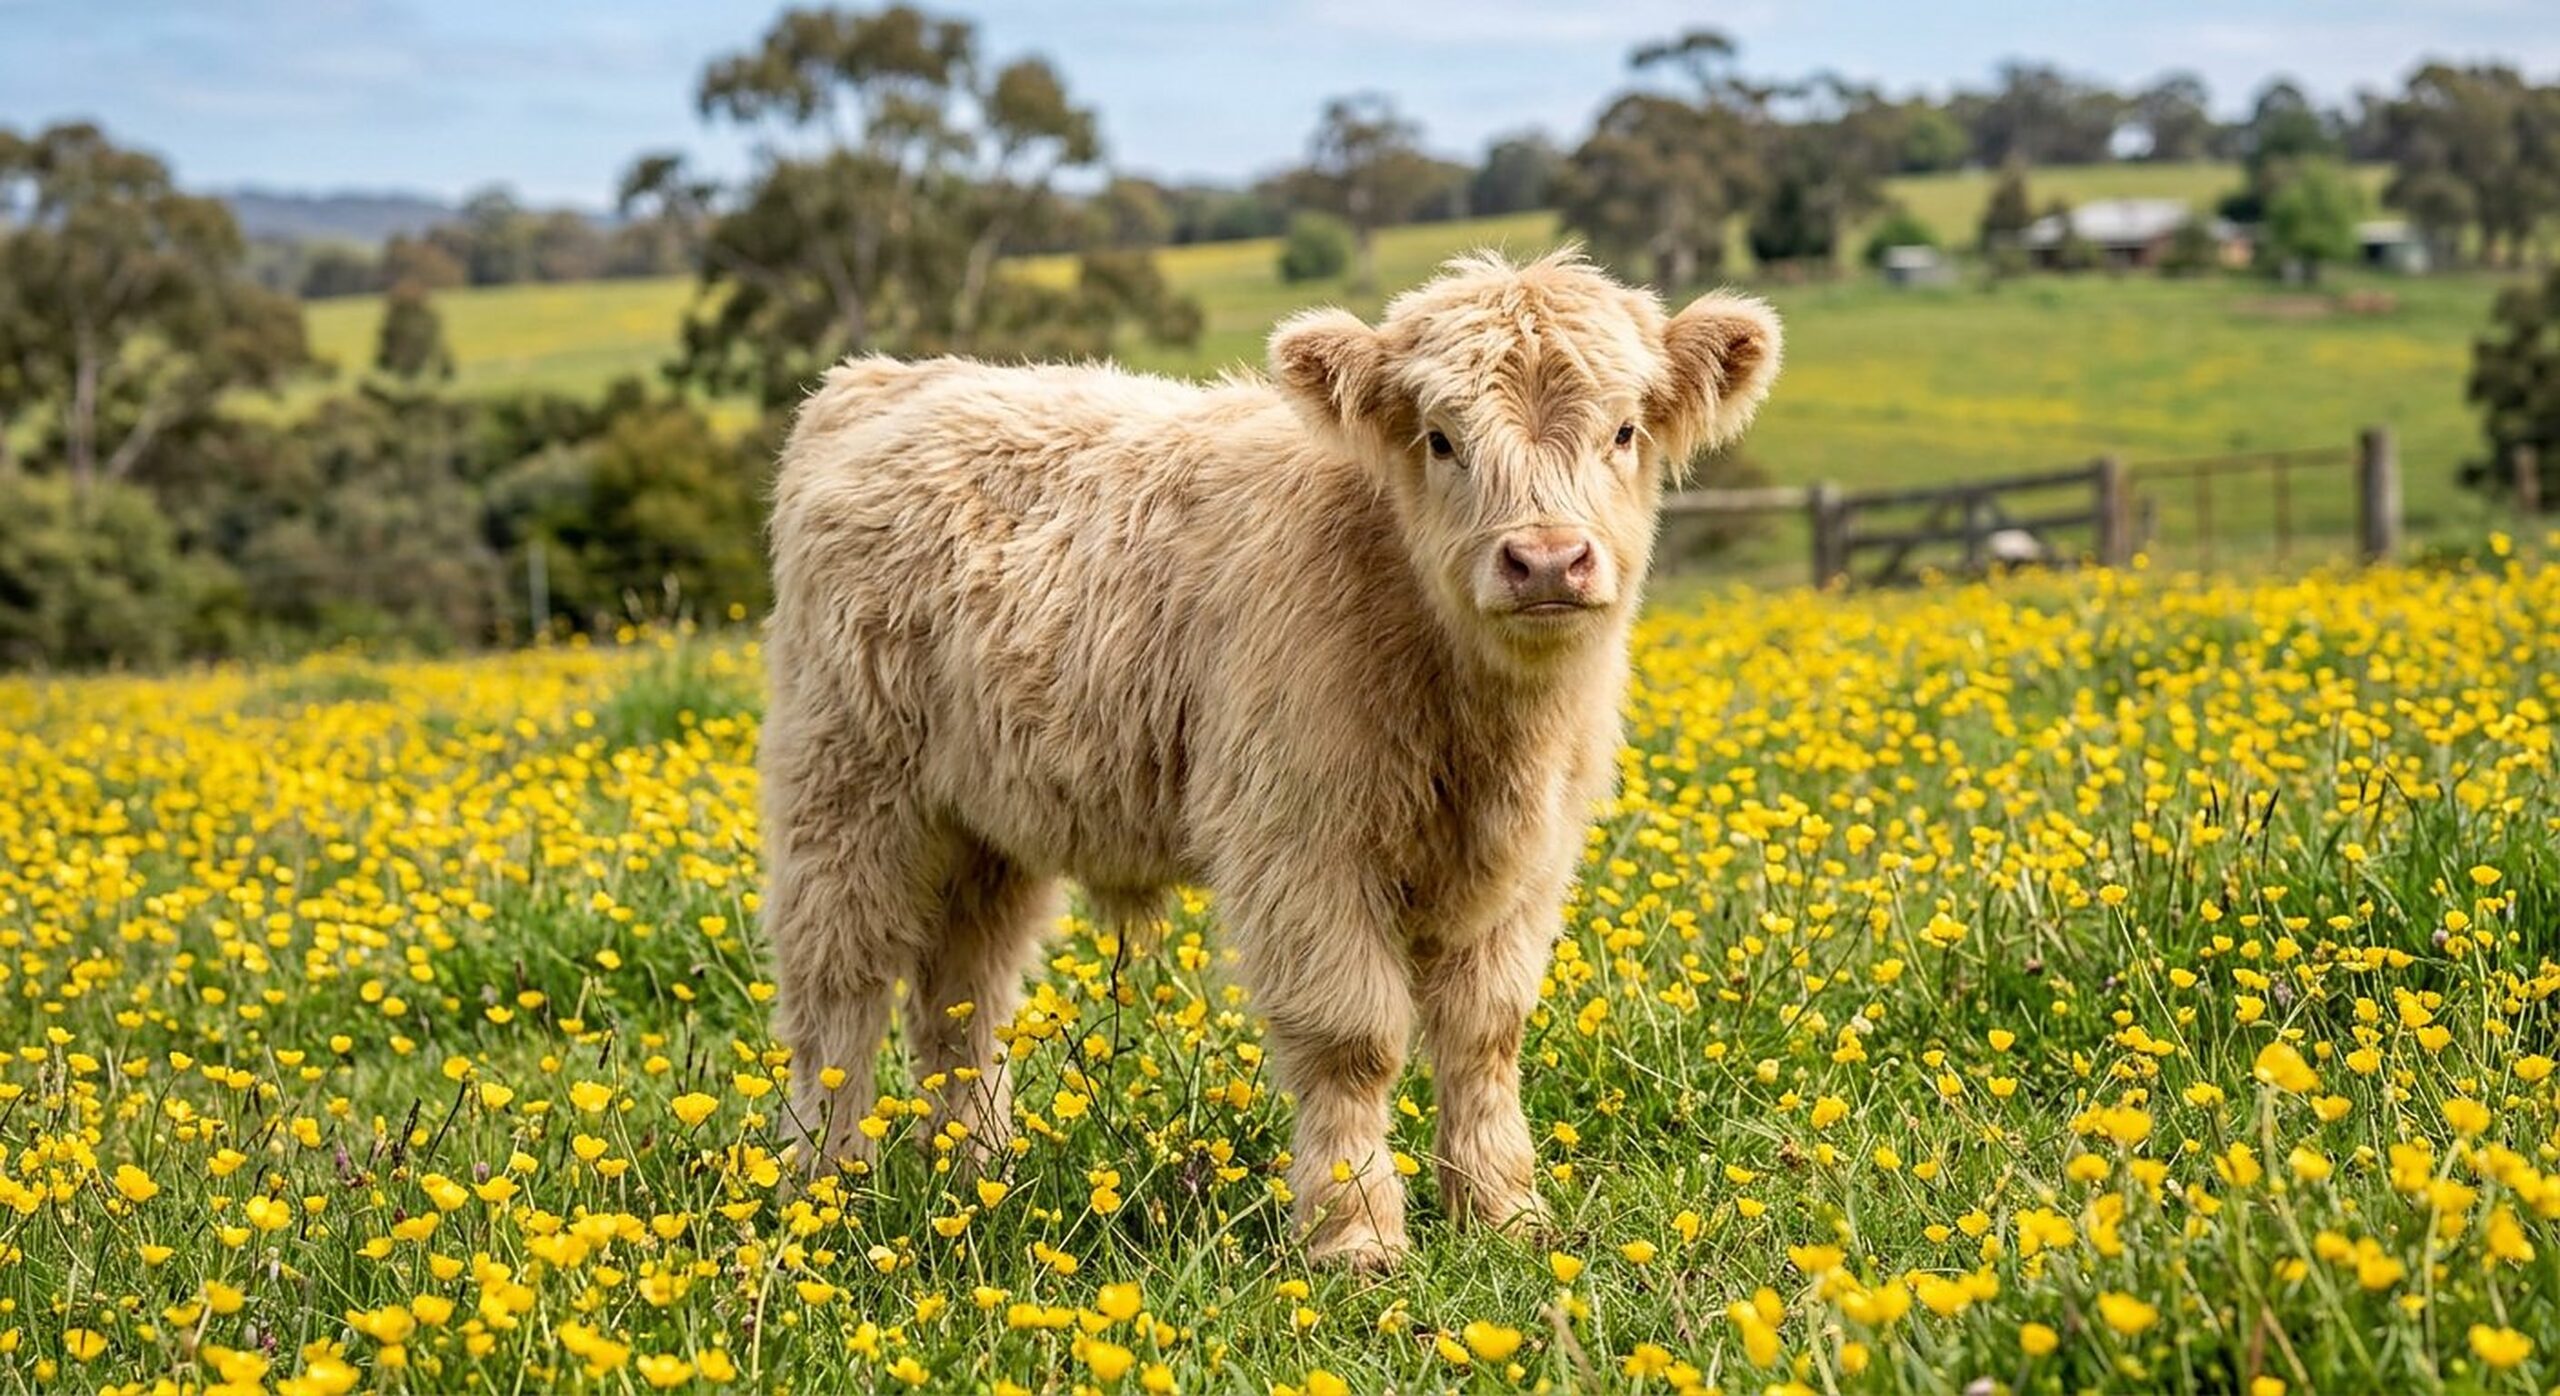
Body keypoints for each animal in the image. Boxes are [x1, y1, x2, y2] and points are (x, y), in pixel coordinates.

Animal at [760, 250, 1781, 1270]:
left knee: (963, 995)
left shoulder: (1528, 863)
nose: (1546, 561)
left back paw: (974, 1175)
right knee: (838, 990)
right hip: (844, 786)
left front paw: (1504, 1215)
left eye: (1624, 430)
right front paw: (1354, 1235)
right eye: (1441, 440)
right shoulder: (1300, 844)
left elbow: (1487, 1031)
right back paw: (830, 1188)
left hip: (988, 827)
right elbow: (1352, 1040)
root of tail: (886, 380)